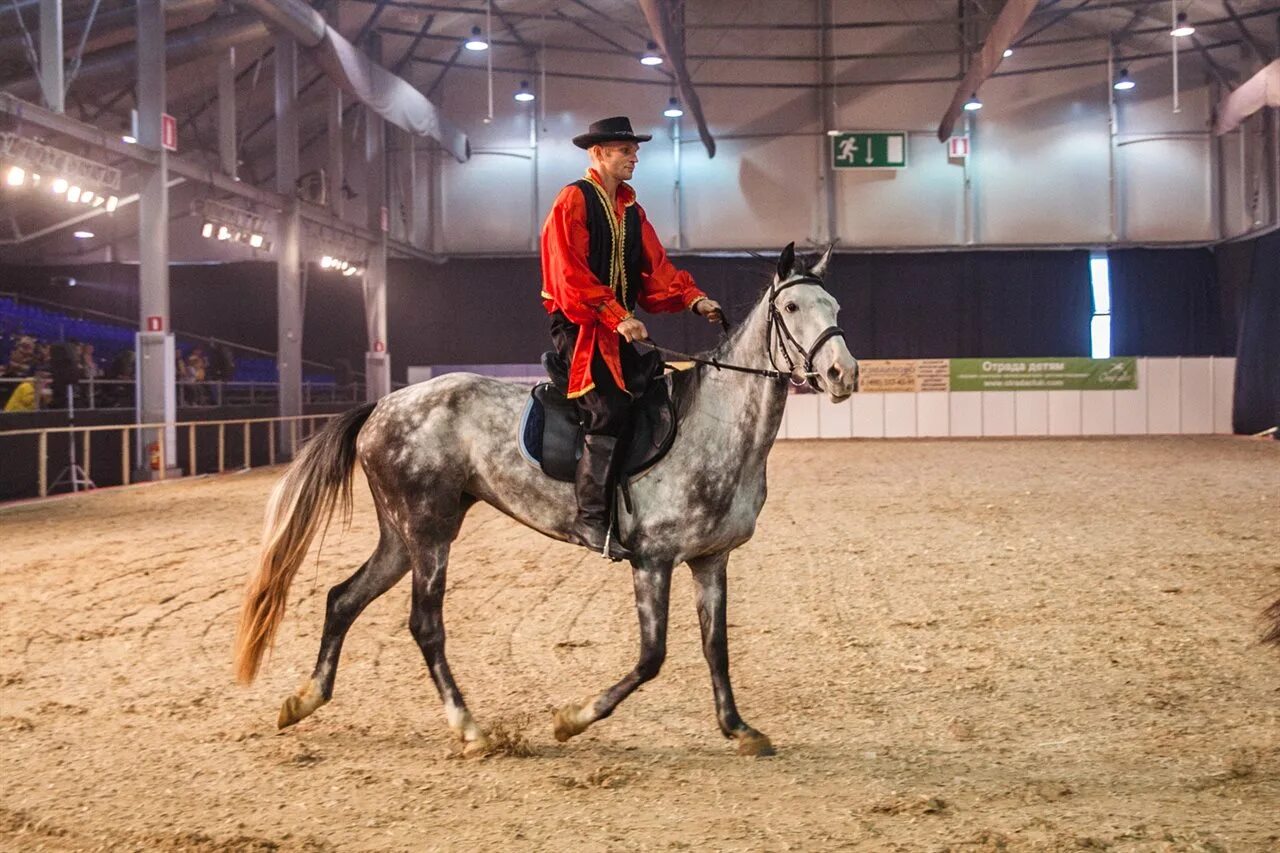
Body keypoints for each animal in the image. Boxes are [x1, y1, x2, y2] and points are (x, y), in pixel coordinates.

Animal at [238, 242, 860, 753]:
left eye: (834, 307)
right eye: (791, 309)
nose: (843, 374)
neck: (713, 423)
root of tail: (383, 406)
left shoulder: (710, 561)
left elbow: (717, 647)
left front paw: (738, 728)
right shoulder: (653, 561)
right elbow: (652, 658)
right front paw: (572, 719)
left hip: (402, 535)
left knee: (342, 599)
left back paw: (304, 700)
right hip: (429, 531)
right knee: (424, 624)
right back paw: (469, 728)